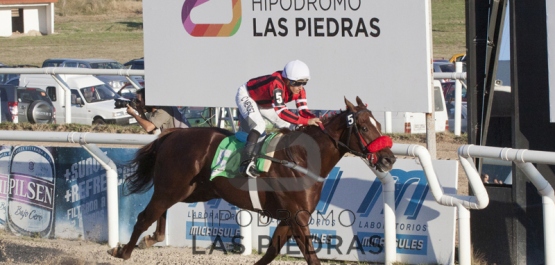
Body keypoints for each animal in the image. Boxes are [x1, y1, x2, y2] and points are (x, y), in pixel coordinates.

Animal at [107, 96, 396, 262]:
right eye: (363, 127)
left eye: (379, 125)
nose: (389, 159)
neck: (301, 158)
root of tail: (171, 135)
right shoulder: (297, 216)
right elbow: (310, 257)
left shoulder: (290, 217)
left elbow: (271, 251)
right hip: (172, 188)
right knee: (144, 217)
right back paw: (122, 251)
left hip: (190, 190)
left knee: (159, 215)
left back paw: (147, 240)